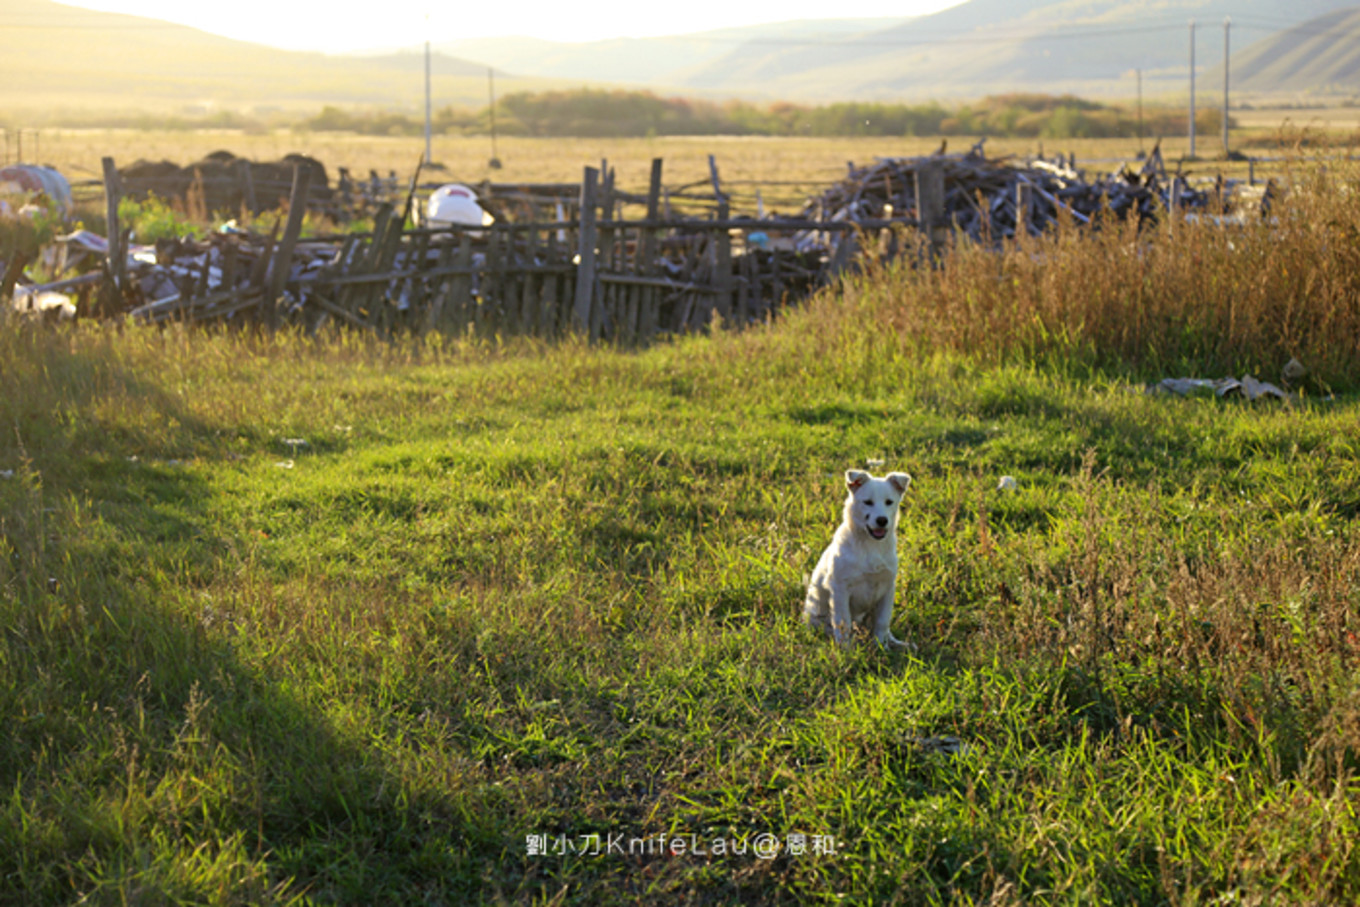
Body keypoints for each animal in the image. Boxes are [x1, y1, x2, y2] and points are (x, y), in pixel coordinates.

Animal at [805, 473, 913, 649]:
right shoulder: (840, 589)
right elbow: (843, 623)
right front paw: (845, 651)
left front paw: (882, 648)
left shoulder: (887, 588)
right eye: (868, 502)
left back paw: (900, 645)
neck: (871, 545)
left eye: (889, 502)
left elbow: (882, 622)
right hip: (816, 615)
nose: (882, 520)